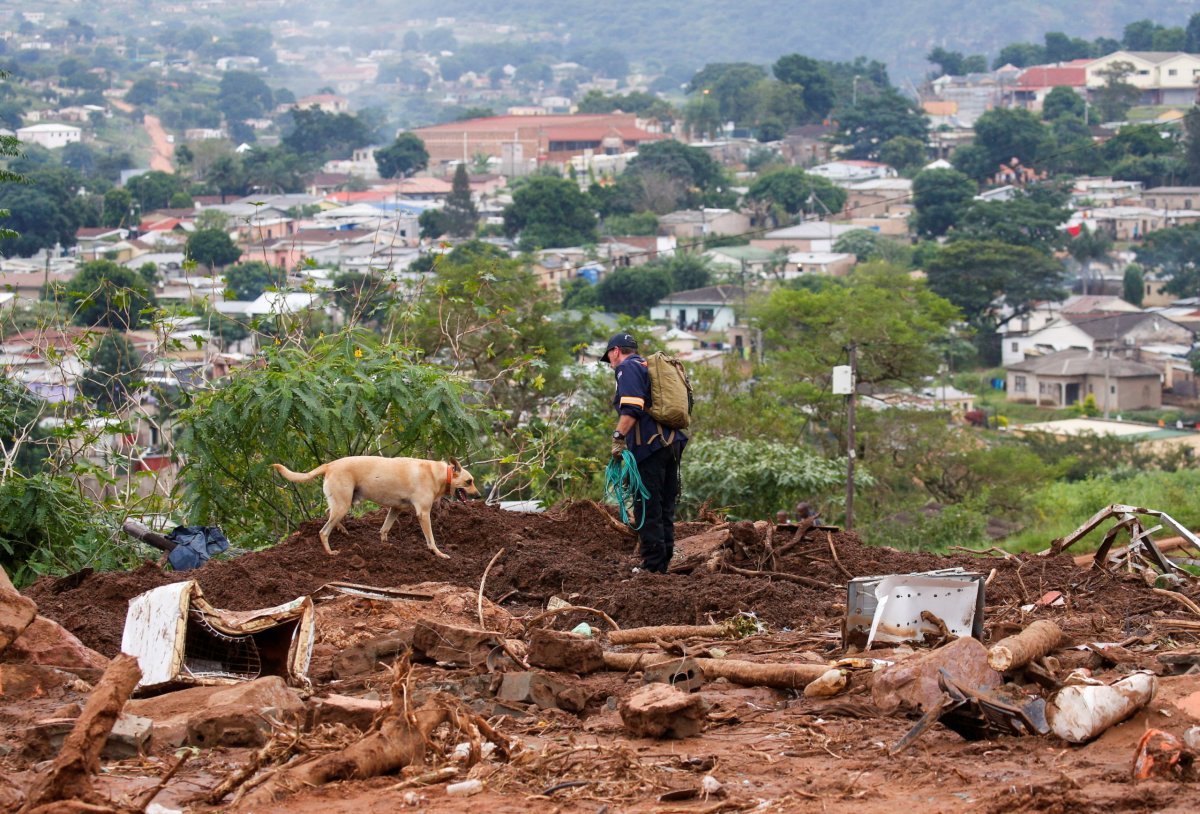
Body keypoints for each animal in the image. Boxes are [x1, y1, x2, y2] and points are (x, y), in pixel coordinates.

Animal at [272, 456, 477, 557]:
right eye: (469, 481)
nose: (479, 495)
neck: (441, 474)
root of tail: (329, 465)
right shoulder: (423, 513)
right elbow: (431, 539)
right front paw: (438, 553)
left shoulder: (395, 509)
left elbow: (384, 529)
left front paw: (386, 547)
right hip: (343, 505)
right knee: (323, 531)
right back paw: (330, 551)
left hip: (343, 502)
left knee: (328, 512)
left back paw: (342, 529)